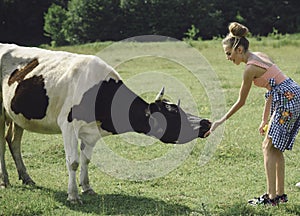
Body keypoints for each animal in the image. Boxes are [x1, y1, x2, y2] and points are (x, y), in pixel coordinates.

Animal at [0, 43, 211, 203]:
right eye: (174, 114)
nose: (207, 123)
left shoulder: (92, 132)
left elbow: (86, 159)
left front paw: (87, 187)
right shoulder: (68, 125)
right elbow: (73, 162)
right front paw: (73, 195)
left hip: (17, 116)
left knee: (13, 141)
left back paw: (26, 178)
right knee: (2, 144)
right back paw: (5, 180)